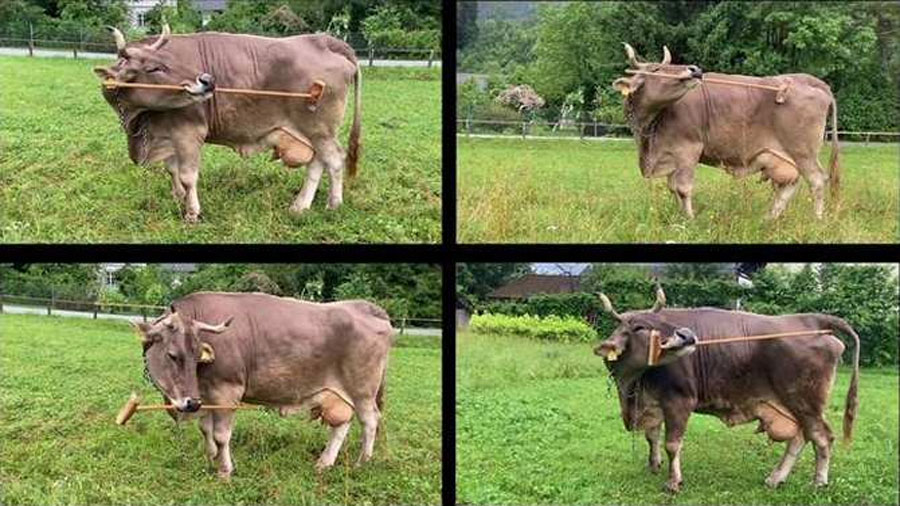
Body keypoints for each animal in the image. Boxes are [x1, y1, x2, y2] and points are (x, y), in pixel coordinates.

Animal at [93, 25, 361, 223]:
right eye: (153, 68)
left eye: (166, 60)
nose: (207, 80)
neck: (139, 122)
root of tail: (324, 40)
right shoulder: (168, 136)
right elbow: (172, 170)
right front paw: (178, 198)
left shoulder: (188, 133)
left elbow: (188, 176)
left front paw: (192, 213)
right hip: (312, 133)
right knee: (317, 163)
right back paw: (300, 206)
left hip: (320, 130)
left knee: (334, 160)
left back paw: (333, 204)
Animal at [132, 292, 394, 479]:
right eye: (173, 355)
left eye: (197, 355)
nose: (190, 402)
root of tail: (364, 307)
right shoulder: (205, 396)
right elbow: (205, 429)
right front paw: (210, 459)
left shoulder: (226, 392)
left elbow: (221, 435)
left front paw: (225, 471)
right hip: (340, 394)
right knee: (341, 425)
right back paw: (324, 463)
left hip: (363, 391)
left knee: (370, 421)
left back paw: (362, 463)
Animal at [593, 286, 860, 493]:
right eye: (639, 327)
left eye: (665, 321)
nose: (687, 335)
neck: (632, 384)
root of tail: (811, 319)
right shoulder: (652, 402)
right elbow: (652, 436)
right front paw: (654, 465)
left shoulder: (679, 400)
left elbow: (672, 444)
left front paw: (673, 482)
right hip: (794, 406)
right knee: (800, 437)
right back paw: (776, 479)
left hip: (806, 402)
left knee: (821, 437)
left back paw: (818, 482)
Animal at [612, 44, 840, 219]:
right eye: (657, 69)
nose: (694, 69)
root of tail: (813, 81)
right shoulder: (670, 155)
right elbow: (672, 188)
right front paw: (678, 216)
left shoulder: (688, 150)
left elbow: (683, 188)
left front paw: (689, 219)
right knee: (790, 184)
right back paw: (769, 217)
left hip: (803, 152)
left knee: (817, 180)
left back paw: (817, 219)